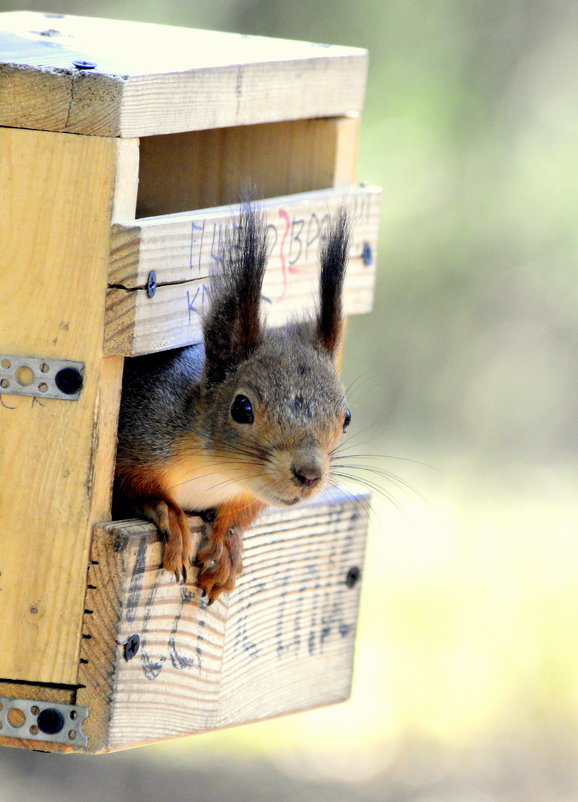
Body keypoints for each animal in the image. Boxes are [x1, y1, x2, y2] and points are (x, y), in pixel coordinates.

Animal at [111, 203, 348, 604]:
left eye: (346, 417)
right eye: (242, 408)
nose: (309, 475)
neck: (216, 472)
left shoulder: (249, 495)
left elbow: (240, 514)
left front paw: (227, 547)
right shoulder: (140, 436)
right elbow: (132, 488)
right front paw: (169, 514)